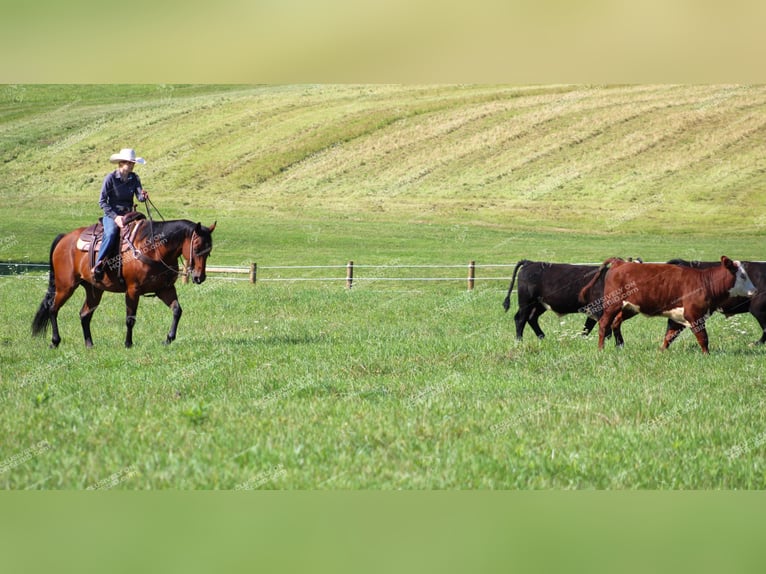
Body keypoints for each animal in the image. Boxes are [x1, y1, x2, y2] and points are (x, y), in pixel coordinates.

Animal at [31, 218, 214, 348]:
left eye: (209, 251)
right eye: (196, 248)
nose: (200, 277)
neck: (153, 249)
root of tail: (64, 238)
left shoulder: (165, 289)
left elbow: (177, 310)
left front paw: (168, 339)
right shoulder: (133, 290)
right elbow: (130, 319)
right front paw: (128, 343)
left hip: (94, 290)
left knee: (84, 314)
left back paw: (89, 344)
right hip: (65, 287)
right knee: (53, 309)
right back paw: (55, 341)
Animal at [504, 260, 632, 342]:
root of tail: (529, 262)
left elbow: (587, 328)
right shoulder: (598, 309)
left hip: (539, 304)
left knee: (531, 318)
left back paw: (543, 338)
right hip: (526, 302)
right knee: (520, 319)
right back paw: (519, 341)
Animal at [584, 258, 756, 356]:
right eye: (742, 276)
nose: (754, 290)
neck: (704, 283)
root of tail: (621, 262)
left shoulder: (678, 318)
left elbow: (669, 336)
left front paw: (661, 352)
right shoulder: (695, 315)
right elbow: (703, 338)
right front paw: (707, 355)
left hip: (629, 308)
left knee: (616, 322)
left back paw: (620, 346)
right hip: (612, 304)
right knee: (604, 323)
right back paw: (601, 349)